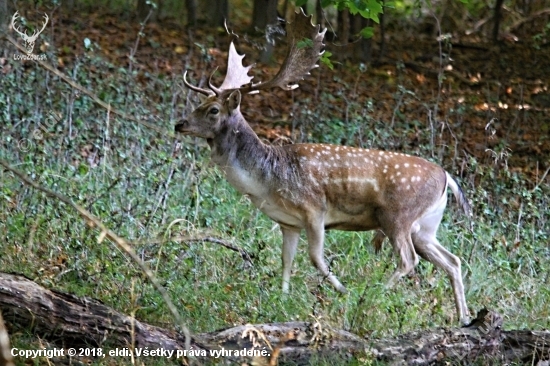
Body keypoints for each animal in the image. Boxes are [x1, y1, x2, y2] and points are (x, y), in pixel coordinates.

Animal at [179, 9, 472, 324]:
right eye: (200, 103)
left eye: (213, 110)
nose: (179, 124)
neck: (267, 181)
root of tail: (446, 177)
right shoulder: (288, 222)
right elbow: (286, 260)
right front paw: (281, 299)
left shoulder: (314, 209)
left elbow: (316, 258)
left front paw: (342, 291)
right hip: (426, 227)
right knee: (453, 260)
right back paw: (463, 317)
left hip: (397, 216)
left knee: (408, 260)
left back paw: (372, 296)